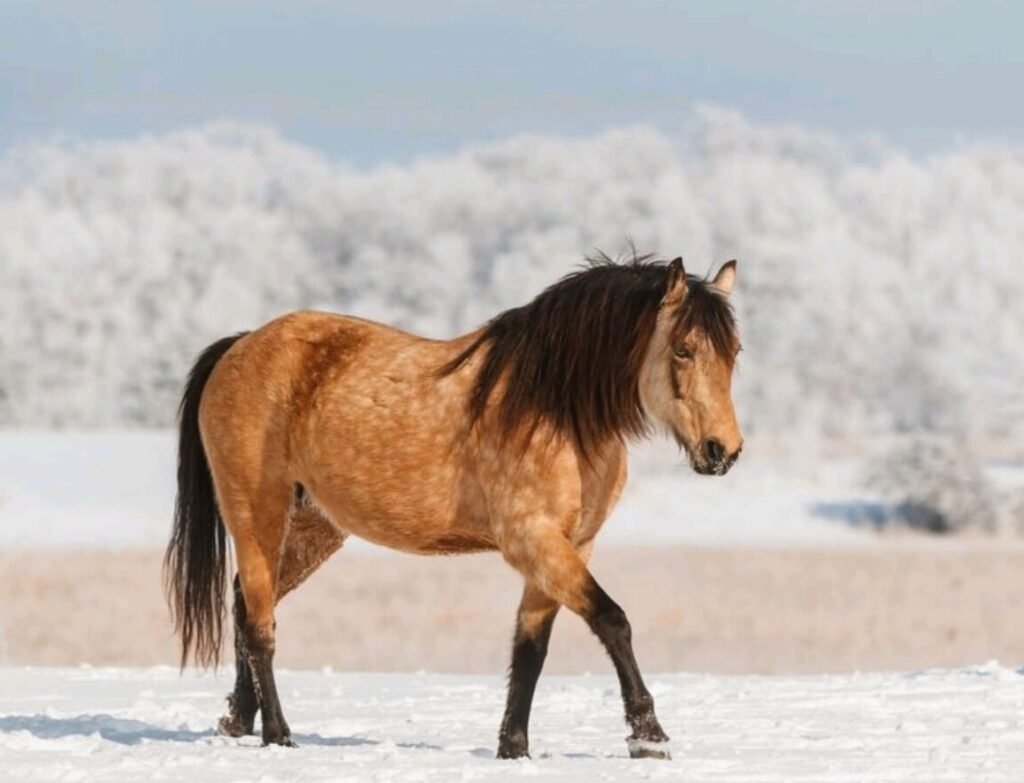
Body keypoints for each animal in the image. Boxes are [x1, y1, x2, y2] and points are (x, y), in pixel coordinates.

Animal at [164, 254, 742, 760]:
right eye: (684, 349)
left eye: (734, 351)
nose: (723, 450)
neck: (555, 408)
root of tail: (239, 347)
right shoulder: (533, 540)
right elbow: (612, 620)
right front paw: (649, 737)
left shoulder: (568, 547)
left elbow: (531, 650)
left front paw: (514, 748)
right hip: (257, 513)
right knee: (260, 625)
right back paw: (279, 736)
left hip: (312, 527)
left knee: (245, 604)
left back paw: (238, 719)